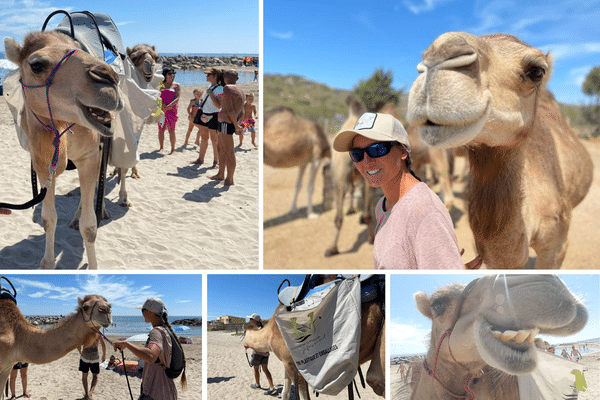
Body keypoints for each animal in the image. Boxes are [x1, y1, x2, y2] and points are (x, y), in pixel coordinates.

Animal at [3, 32, 122, 268]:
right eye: (36, 65)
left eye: (80, 48)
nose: (109, 79)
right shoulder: (42, 164)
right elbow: (49, 219)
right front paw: (47, 263)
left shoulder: (89, 155)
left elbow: (90, 226)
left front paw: (93, 268)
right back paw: (76, 217)